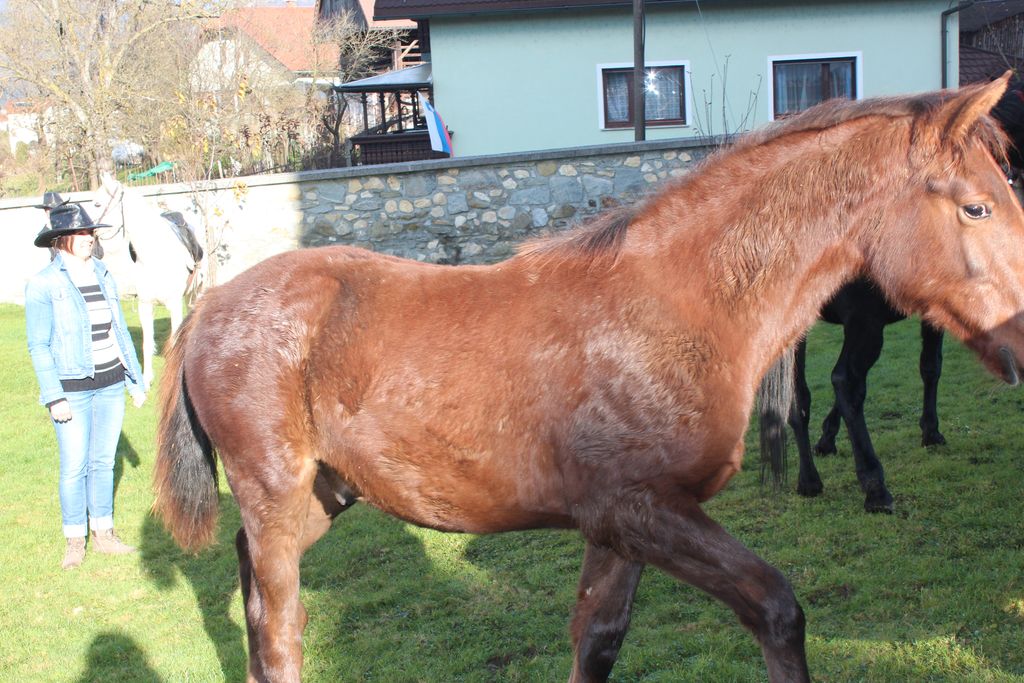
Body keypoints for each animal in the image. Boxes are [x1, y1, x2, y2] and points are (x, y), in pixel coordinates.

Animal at [92, 173, 204, 385]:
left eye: (96, 204)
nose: (90, 234)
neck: (153, 254)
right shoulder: (145, 304)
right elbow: (146, 342)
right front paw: (146, 378)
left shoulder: (174, 303)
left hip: (197, 289)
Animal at [153, 75, 1024, 682]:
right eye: (977, 208)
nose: (1022, 340)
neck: (681, 302)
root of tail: (210, 306)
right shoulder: (643, 509)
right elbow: (778, 608)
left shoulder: (618, 529)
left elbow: (596, 642)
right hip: (277, 499)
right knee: (280, 628)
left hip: (323, 496)